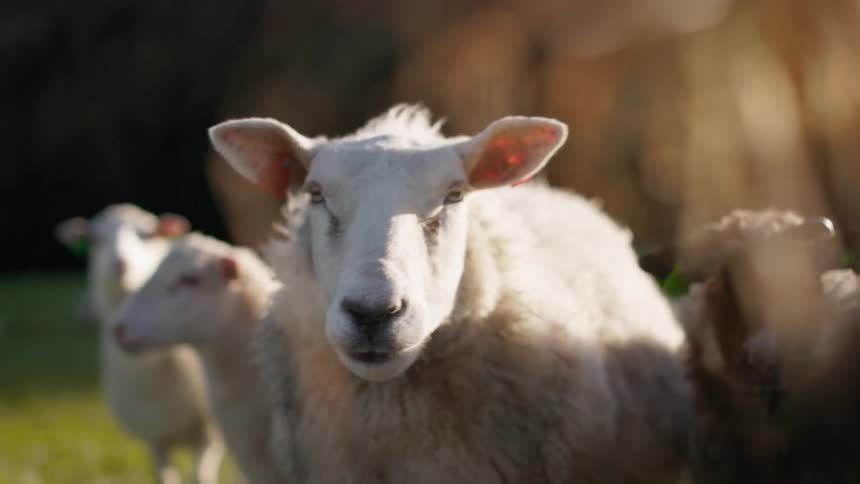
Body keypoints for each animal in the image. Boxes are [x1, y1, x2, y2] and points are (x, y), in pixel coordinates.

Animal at [55, 204, 223, 484]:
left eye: (149, 235)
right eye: (95, 239)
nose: (120, 263)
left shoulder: (209, 437)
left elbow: (200, 476)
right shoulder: (154, 438)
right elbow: (164, 477)